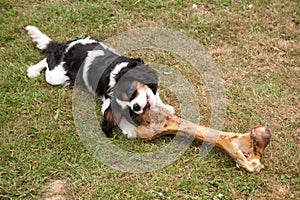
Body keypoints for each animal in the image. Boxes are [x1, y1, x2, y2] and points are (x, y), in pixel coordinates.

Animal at [25, 25, 176, 138]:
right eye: (129, 108)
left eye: (131, 92)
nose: (136, 107)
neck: (117, 72)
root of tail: (63, 48)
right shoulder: (108, 101)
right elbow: (115, 115)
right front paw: (130, 129)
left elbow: (155, 95)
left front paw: (165, 107)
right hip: (55, 76)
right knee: (47, 59)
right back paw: (33, 70)